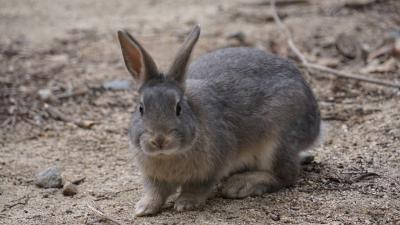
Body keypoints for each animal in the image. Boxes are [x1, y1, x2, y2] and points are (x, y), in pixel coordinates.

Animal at [117, 24, 320, 216]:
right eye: (141, 108)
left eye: (178, 108)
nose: (159, 140)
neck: (167, 155)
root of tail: (315, 124)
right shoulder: (154, 178)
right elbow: (155, 192)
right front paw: (144, 208)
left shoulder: (211, 168)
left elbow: (198, 188)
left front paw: (186, 203)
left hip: (277, 143)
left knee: (286, 175)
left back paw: (240, 185)